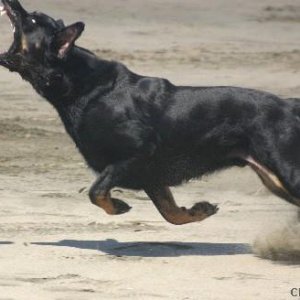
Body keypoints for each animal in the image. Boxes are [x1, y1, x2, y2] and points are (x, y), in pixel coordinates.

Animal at [0, 0, 300, 225]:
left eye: (33, 20)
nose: (13, 1)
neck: (85, 88)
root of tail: (289, 105)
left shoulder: (137, 153)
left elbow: (96, 190)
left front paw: (118, 206)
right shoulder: (151, 178)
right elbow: (171, 213)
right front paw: (198, 211)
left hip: (287, 172)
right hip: (273, 179)